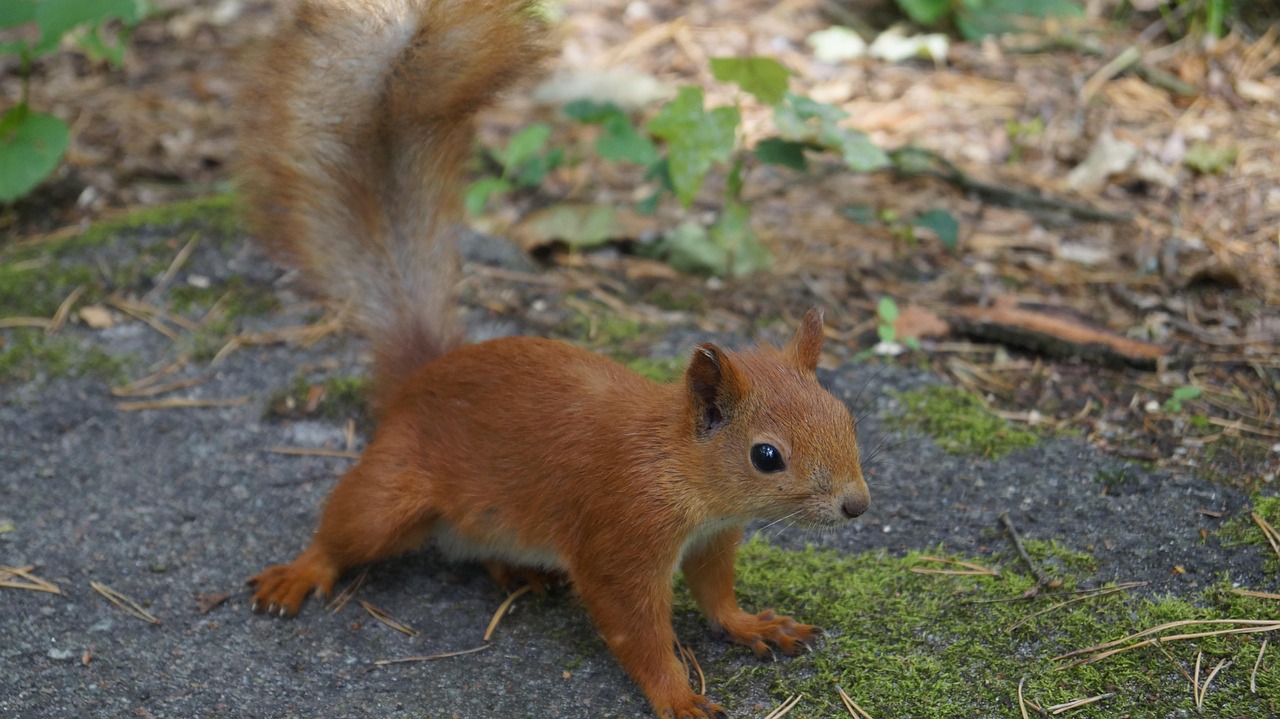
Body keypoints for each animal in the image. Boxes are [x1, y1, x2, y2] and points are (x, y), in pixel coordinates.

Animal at [238, 1, 871, 717]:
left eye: (847, 418)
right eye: (767, 456)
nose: (857, 506)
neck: (679, 464)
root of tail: (418, 379)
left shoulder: (713, 536)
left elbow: (715, 594)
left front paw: (751, 625)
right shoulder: (623, 531)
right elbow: (634, 626)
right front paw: (678, 695)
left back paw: (516, 568)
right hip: (393, 485)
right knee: (348, 528)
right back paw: (303, 570)